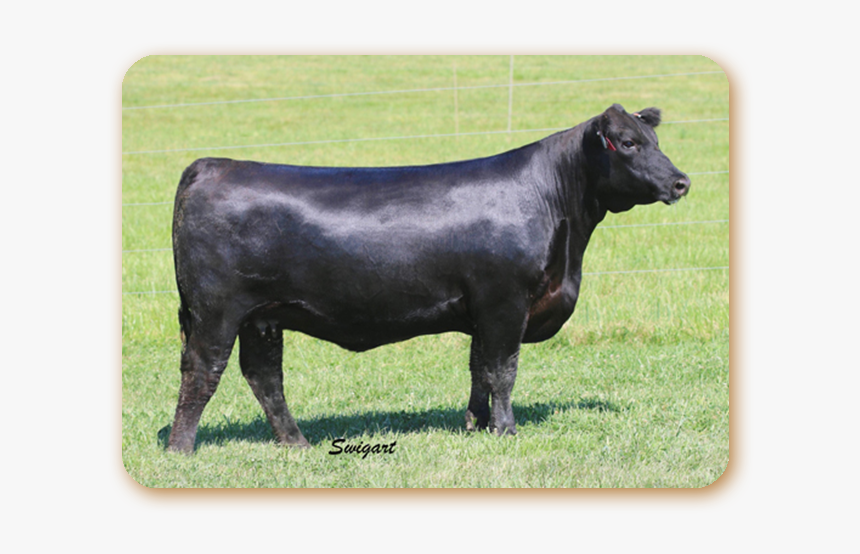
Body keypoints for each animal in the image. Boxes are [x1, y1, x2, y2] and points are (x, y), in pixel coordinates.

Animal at [166, 103, 690, 454]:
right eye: (628, 143)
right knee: (202, 371)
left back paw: (296, 443)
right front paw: (506, 429)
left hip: (263, 316)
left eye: (656, 141)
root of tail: (211, 164)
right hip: (216, 311)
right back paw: (181, 447)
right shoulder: (504, 301)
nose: (681, 181)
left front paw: (475, 424)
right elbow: (503, 370)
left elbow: (479, 368)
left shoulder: (481, 309)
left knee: (264, 377)